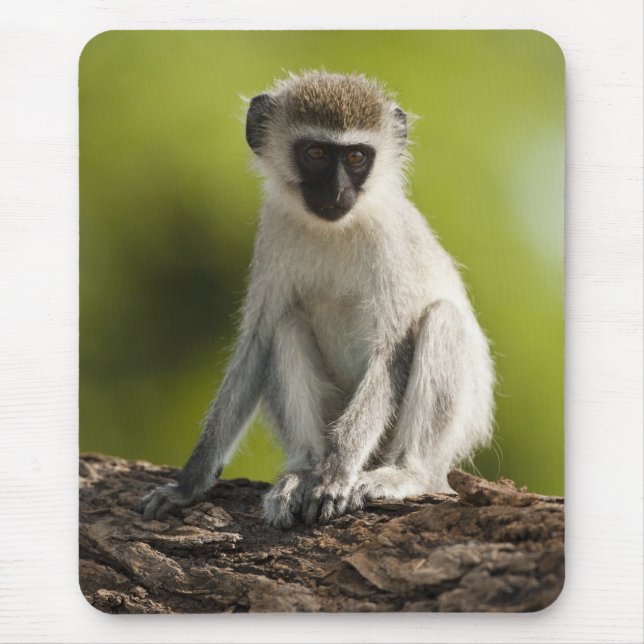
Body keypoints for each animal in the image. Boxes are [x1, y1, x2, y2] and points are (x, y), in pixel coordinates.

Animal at [138, 71, 495, 528]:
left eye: (357, 157)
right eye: (317, 153)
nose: (337, 191)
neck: (335, 229)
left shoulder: (389, 240)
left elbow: (391, 353)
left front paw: (335, 474)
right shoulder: (273, 230)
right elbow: (257, 343)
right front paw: (189, 483)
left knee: (444, 321)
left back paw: (404, 473)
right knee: (286, 326)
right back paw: (304, 470)